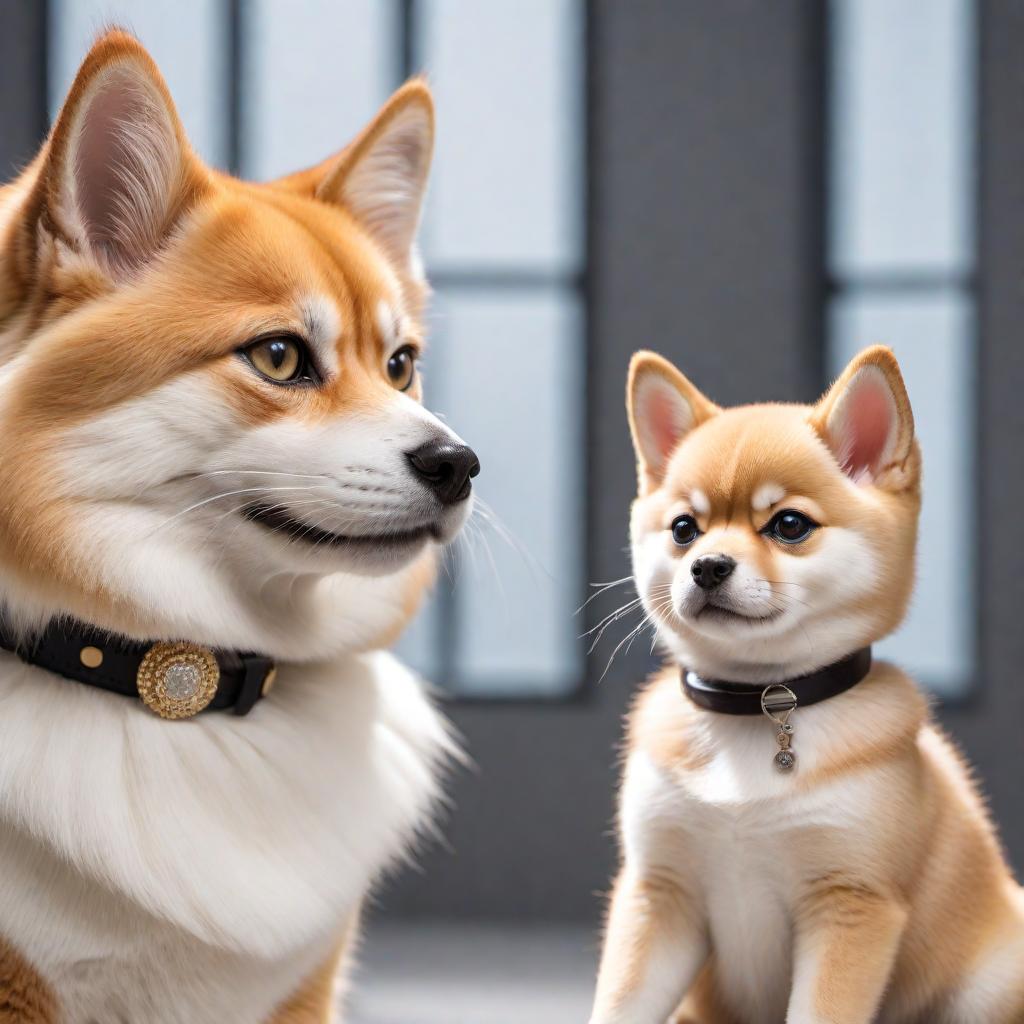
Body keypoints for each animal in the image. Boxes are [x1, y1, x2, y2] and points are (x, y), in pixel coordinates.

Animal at [589, 350, 1024, 1024]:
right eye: (684, 529)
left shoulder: (850, 903)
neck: (756, 704)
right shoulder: (659, 893)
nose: (706, 565)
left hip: (989, 985)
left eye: (789, 524)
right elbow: (618, 1006)